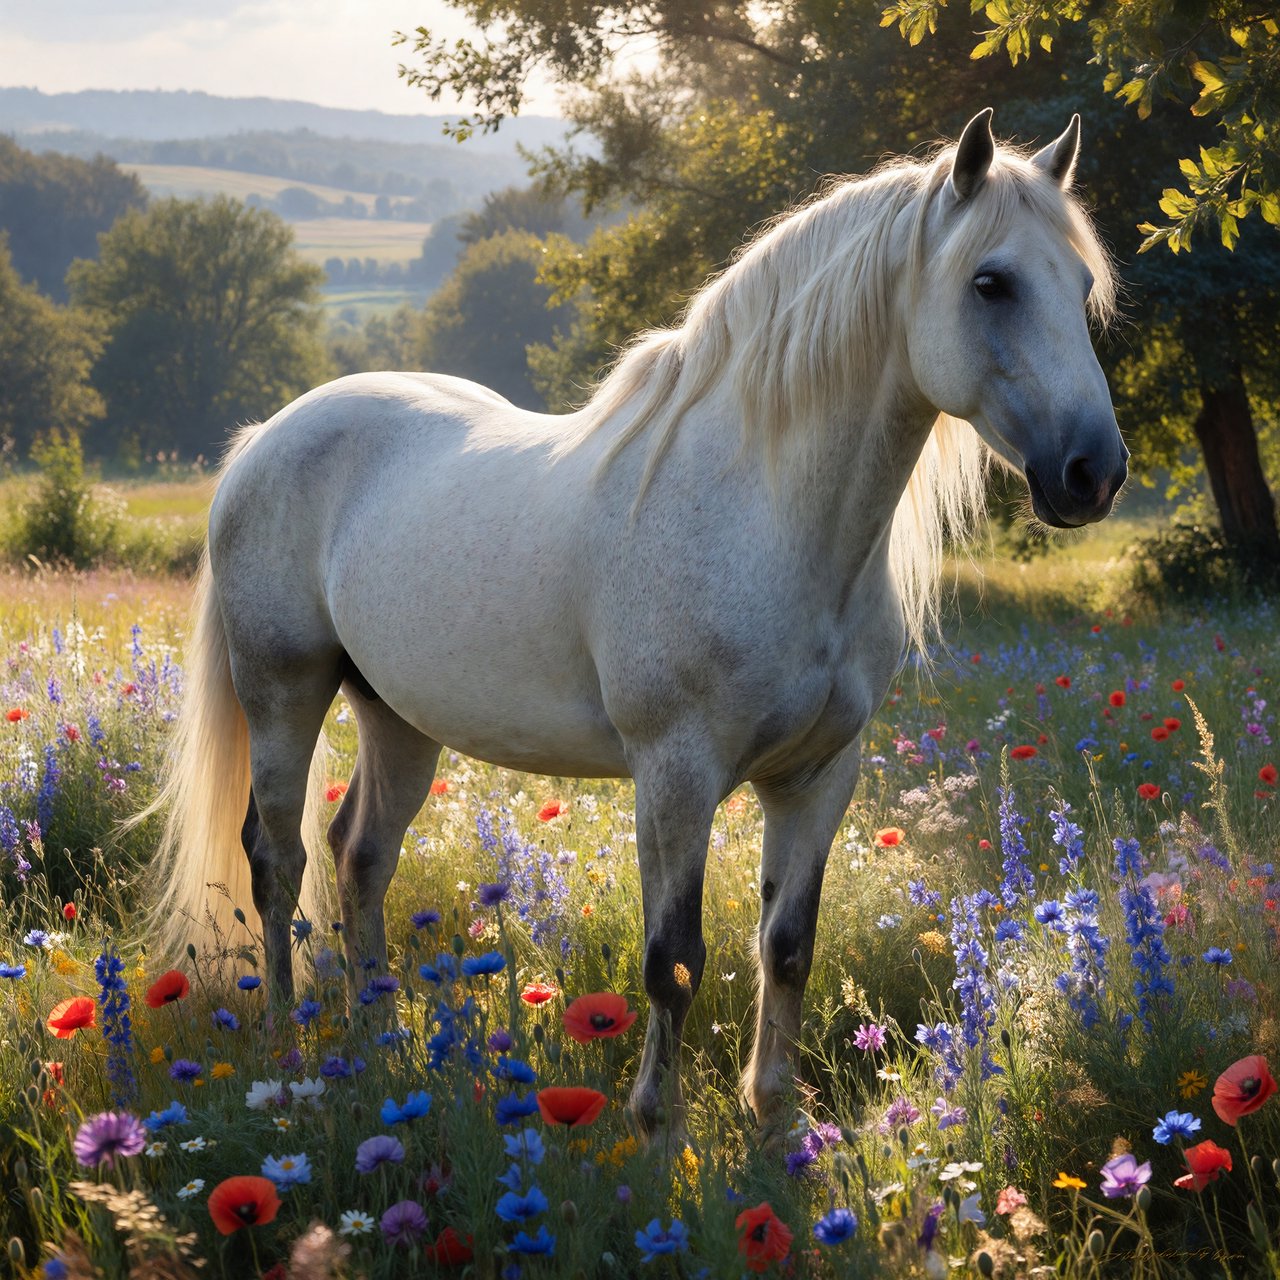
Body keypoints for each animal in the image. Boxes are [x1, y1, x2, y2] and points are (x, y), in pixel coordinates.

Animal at [140, 109, 1126, 1137]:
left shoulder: (819, 775)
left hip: (397, 716)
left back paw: (377, 1044)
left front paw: (775, 1121)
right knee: (277, 862)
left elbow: (788, 946)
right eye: (991, 282)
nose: (1094, 472)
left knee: (361, 857)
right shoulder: (676, 775)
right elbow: (674, 961)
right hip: (283, 693)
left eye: (1081, 284)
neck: (765, 515)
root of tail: (265, 437)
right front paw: (660, 1127)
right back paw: (287, 1051)